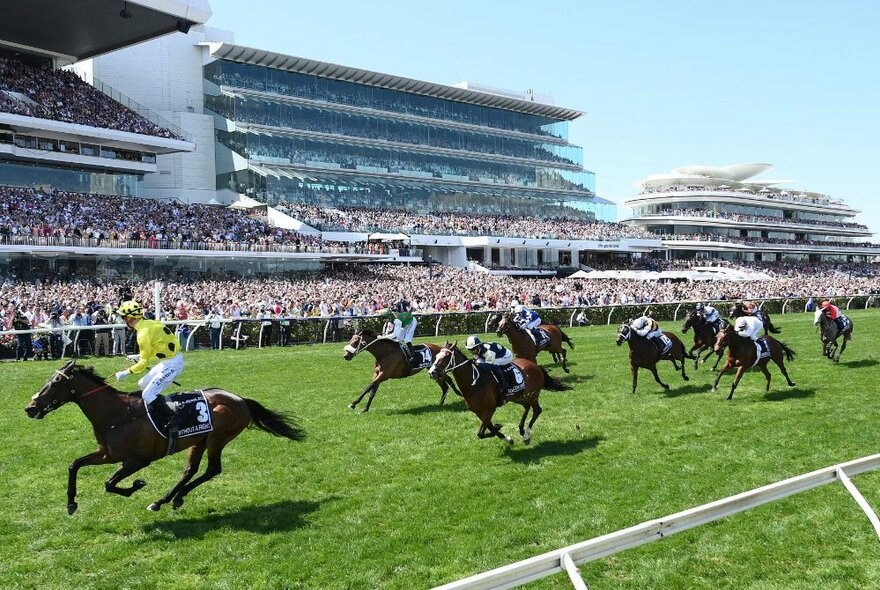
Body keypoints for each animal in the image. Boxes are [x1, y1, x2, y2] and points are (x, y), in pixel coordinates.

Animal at [24, 358, 306, 516]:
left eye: (54, 384)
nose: (30, 407)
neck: (118, 415)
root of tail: (240, 399)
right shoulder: (107, 454)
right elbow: (74, 465)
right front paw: (71, 504)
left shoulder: (137, 460)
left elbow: (109, 484)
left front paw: (136, 485)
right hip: (198, 441)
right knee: (191, 470)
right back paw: (167, 499)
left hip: (216, 439)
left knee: (212, 470)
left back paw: (169, 498)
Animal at [428, 342, 572, 444]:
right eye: (436, 356)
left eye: (446, 357)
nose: (432, 372)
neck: (474, 383)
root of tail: (536, 366)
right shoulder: (478, 411)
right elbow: (488, 429)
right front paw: (507, 438)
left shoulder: (490, 409)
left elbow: (481, 433)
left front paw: (499, 427)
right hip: (517, 396)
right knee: (526, 407)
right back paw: (521, 429)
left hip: (533, 395)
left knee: (537, 410)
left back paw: (526, 434)